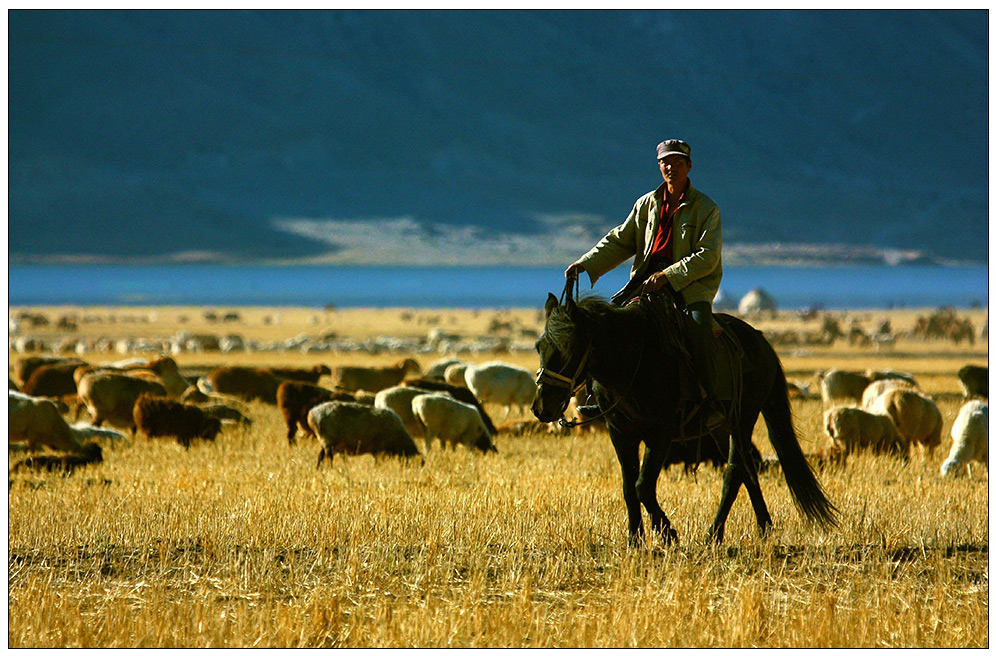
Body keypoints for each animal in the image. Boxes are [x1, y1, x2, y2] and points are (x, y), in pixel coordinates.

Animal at [532, 290, 836, 544]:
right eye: (539, 346)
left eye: (569, 347)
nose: (542, 407)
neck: (631, 360)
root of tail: (761, 341)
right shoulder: (620, 433)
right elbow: (629, 487)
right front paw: (635, 539)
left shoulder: (660, 434)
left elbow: (643, 486)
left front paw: (668, 532)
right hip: (720, 428)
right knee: (748, 469)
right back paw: (763, 526)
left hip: (743, 418)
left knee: (735, 470)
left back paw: (714, 534)